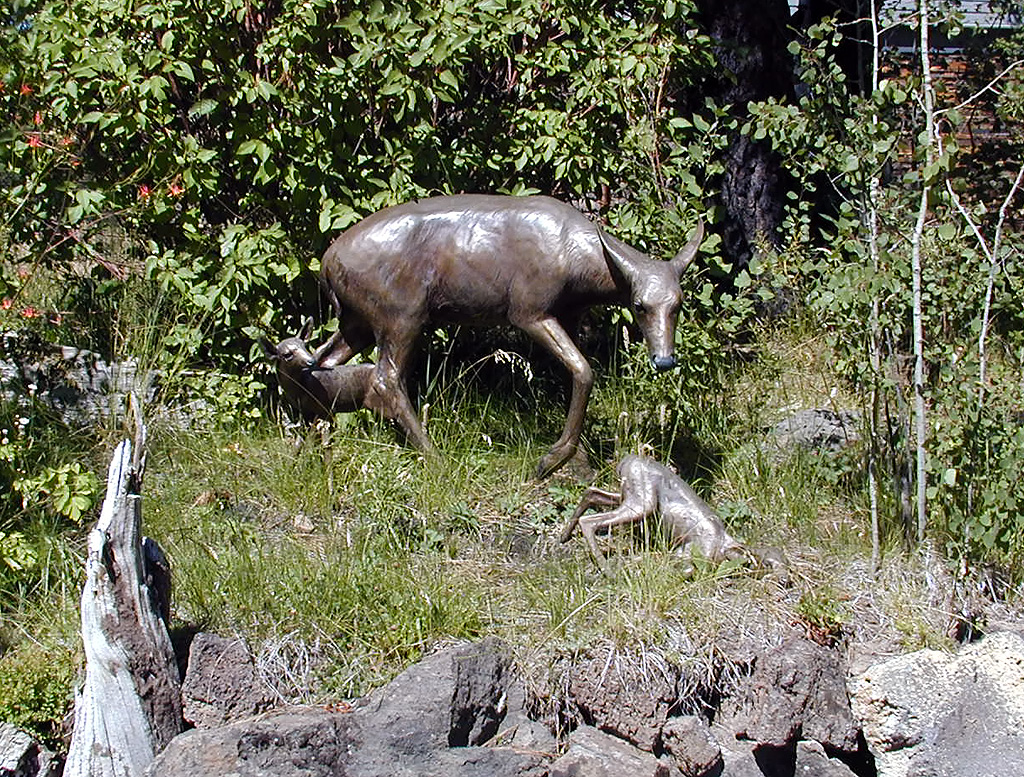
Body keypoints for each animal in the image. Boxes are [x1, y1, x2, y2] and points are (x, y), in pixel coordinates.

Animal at [315, 194, 704, 477]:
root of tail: (327, 265)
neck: (576, 263)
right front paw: (551, 460)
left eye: (679, 303)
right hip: (400, 315)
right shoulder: (529, 310)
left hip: (358, 322)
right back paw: (435, 456)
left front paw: (578, 462)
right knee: (385, 378)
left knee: (323, 362)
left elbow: (573, 374)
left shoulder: (569, 313)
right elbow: (584, 370)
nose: (664, 359)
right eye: (639, 305)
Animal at [560, 454, 785, 576]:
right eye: (767, 564)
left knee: (592, 492)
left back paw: (564, 536)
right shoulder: (699, 553)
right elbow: (687, 570)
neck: (723, 542)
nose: (785, 579)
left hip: (629, 496)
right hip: (642, 504)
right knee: (589, 521)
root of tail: (628, 460)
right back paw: (609, 571)